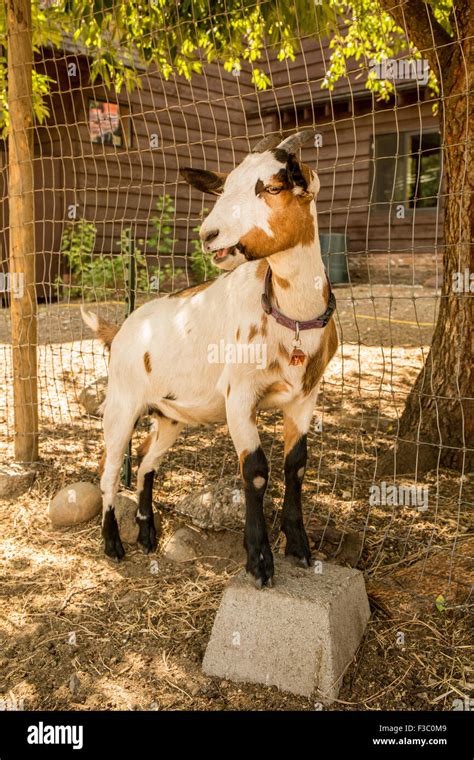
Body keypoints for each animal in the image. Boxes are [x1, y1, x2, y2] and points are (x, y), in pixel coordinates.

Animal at [83, 132, 338, 588]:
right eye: (225, 187)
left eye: (273, 187)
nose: (209, 234)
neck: (291, 317)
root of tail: (122, 329)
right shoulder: (239, 396)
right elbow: (255, 471)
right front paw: (259, 562)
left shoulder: (305, 397)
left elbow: (296, 466)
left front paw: (300, 548)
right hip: (121, 403)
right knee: (109, 468)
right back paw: (112, 544)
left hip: (170, 416)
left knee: (147, 459)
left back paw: (147, 533)